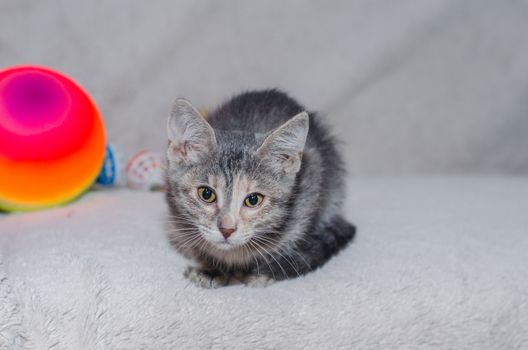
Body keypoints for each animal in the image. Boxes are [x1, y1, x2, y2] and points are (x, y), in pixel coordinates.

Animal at [165, 89, 354, 288]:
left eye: (253, 200)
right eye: (206, 194)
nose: (227, 230)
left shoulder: (310, 190)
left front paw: (265, 271)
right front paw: (214, 269)